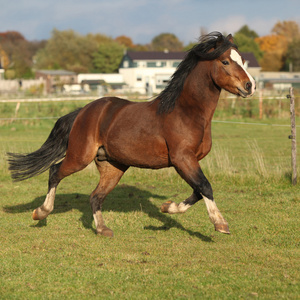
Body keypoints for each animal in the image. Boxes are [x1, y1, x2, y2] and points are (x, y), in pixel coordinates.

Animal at [7, 32, 255, 237]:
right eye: (225, 61)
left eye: (242, 59)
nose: (249, 85)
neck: (187, 112)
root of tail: (84, 111)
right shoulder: (182, 158)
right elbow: (205, 186)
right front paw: (220, 223)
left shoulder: (189, 161)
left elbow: (198, 189)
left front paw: (168, 207)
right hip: (79, 156)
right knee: (55, 172)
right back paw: (41, 213)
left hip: (113, 166)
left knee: (95, 196)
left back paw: (103, 229)